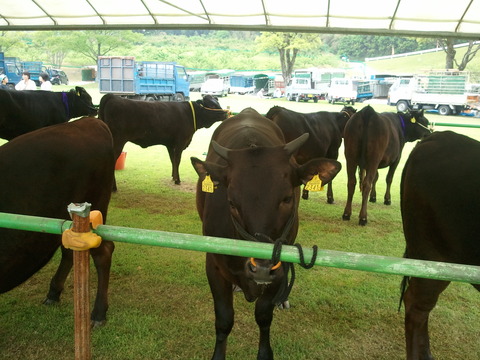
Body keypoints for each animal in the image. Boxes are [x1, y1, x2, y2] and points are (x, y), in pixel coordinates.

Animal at [0, 117, 115, 326]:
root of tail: (88, 121)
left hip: (96, 207)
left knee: (104, 252)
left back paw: (98, 313)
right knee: (69, 250)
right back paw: (53, 293)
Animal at [98, 93, 230, 191]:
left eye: (217, 102)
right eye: (212, 105)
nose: (225, 113)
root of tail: (113, 96)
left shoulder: (170, 144)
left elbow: (172, 160)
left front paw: (173, 177)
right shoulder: (180, 142)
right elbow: (177, 160)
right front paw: (177, 180)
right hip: (118, 141)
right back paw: (113, 188)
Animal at [191, 107, 342, 360]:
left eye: (288, 198)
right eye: (231, 202)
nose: (261, 268)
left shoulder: (278, 270)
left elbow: (263, 315)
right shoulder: (213, 265)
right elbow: (224, 319)